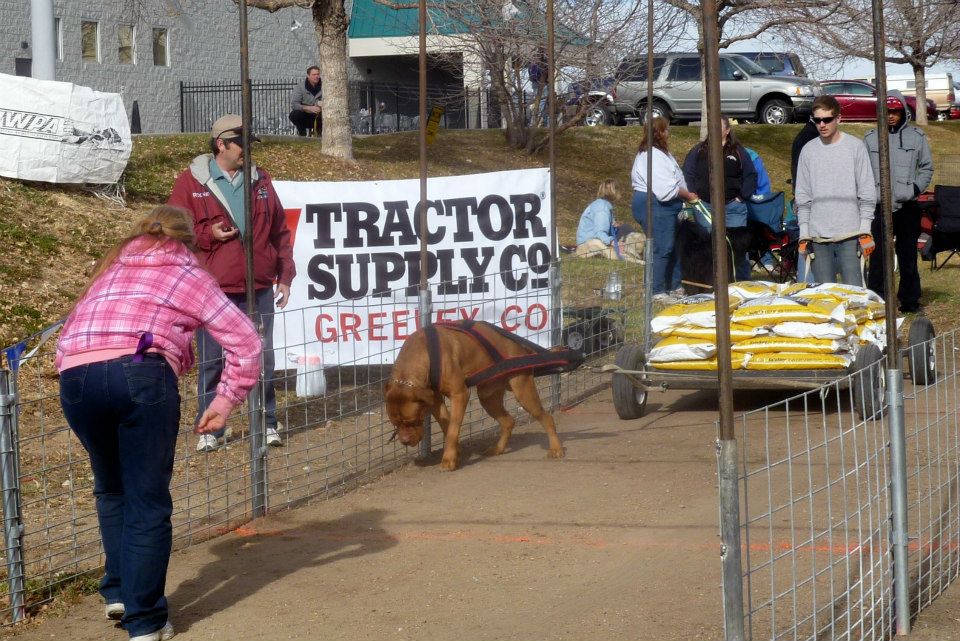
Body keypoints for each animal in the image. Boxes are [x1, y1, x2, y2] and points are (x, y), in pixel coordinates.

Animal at [380, 322, 564, 468]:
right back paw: (498, 448)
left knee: (546, 417)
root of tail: (519, 347)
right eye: (395, 424)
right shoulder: (434, 399)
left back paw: (556, 448)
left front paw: (449, 459)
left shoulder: (459, 394)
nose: (404, 441)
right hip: (488, 397)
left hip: (523, 391)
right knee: (508, 421)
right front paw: (455, 452)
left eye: (413, 421)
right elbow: (447, 425)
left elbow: (453, 429)